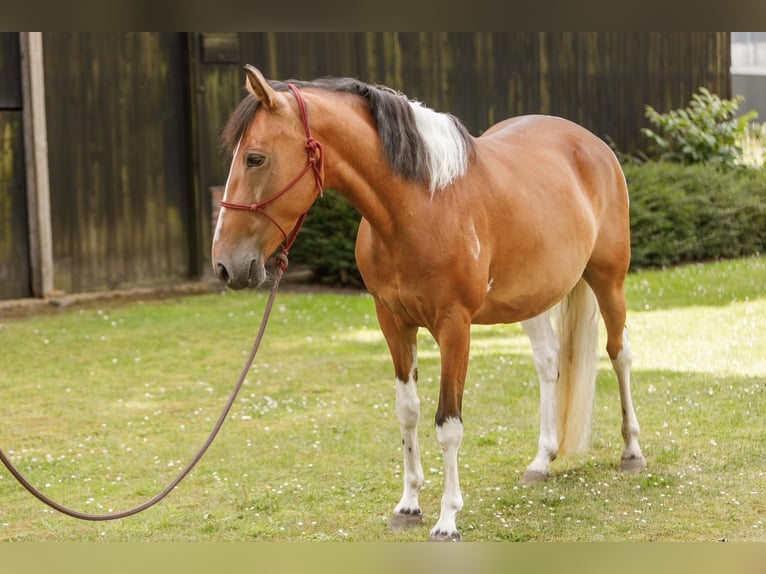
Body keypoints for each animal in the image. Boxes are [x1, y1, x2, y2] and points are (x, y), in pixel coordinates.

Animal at [212, 67, 648, 544]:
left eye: (255, 158)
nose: (225, 265)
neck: (422, 206)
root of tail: (592, 144)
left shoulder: (455, 327)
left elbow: (448, 423)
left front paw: (447, 520)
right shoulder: (393, 323)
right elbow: (408, 413)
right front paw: (409, 505)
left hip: (609, 280)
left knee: (620, 354)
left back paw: (631, 452)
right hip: (531, 298)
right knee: (549, 361)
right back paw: (541, 461)